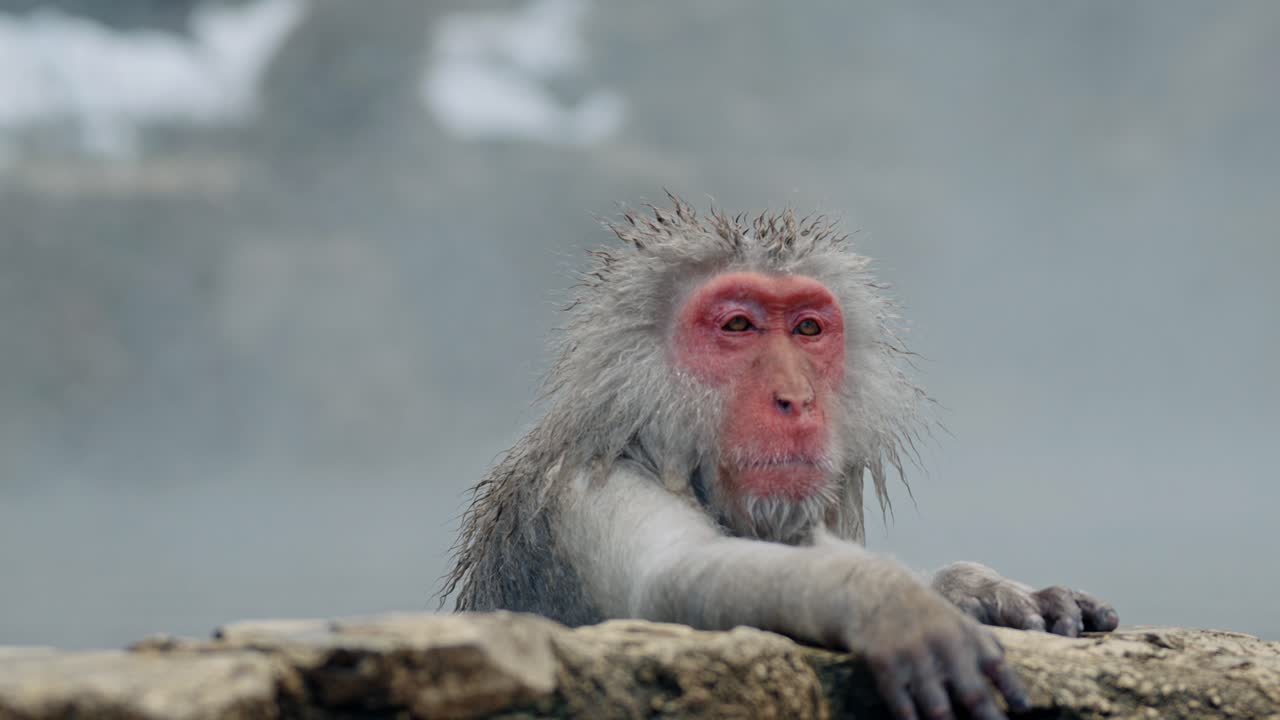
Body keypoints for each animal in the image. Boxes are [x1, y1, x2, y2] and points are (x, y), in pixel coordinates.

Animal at [441, 194, 1118, 720]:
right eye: (738, 326)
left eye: (808, 330)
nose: (796, 398)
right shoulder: (588, 489)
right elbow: (674, 578)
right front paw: (888, 600)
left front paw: (976, 587)